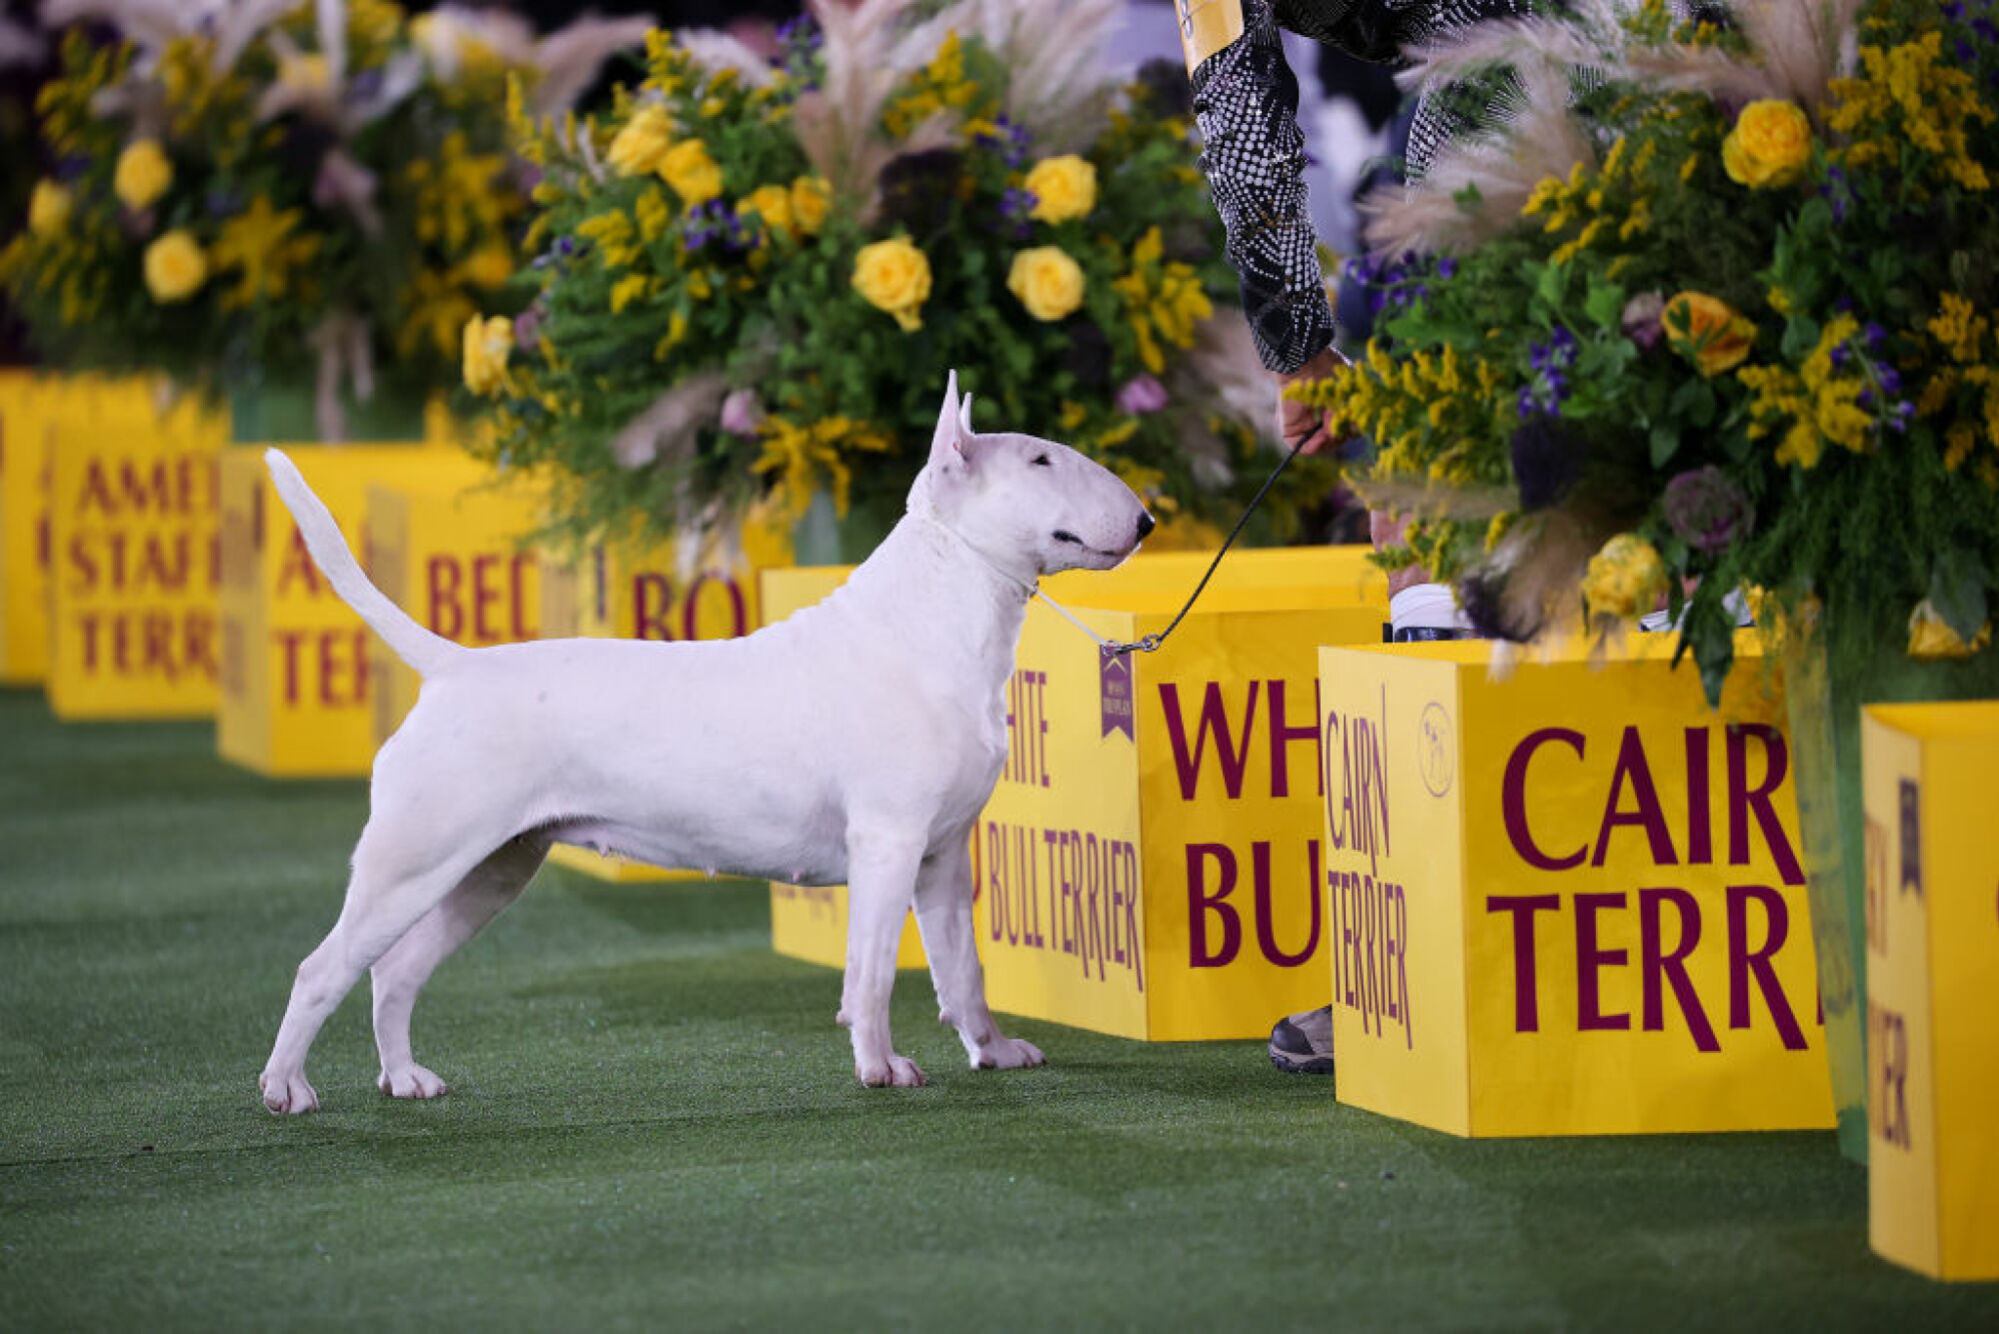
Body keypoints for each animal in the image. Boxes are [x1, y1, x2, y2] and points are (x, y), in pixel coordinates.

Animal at [257, 370, 1159, 1112]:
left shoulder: (940, 854)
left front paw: (995, 1052)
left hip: (496, 864)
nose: (1149, 521)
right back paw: (287, 1090)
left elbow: (962, 967)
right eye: (1040, 460)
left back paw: (406, 1079)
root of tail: (452, 667)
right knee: (320, 968)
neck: (931, 614)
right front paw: (881, 1069)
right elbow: (869, 969)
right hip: (416, 854)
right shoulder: (886, 839)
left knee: (393, 969)